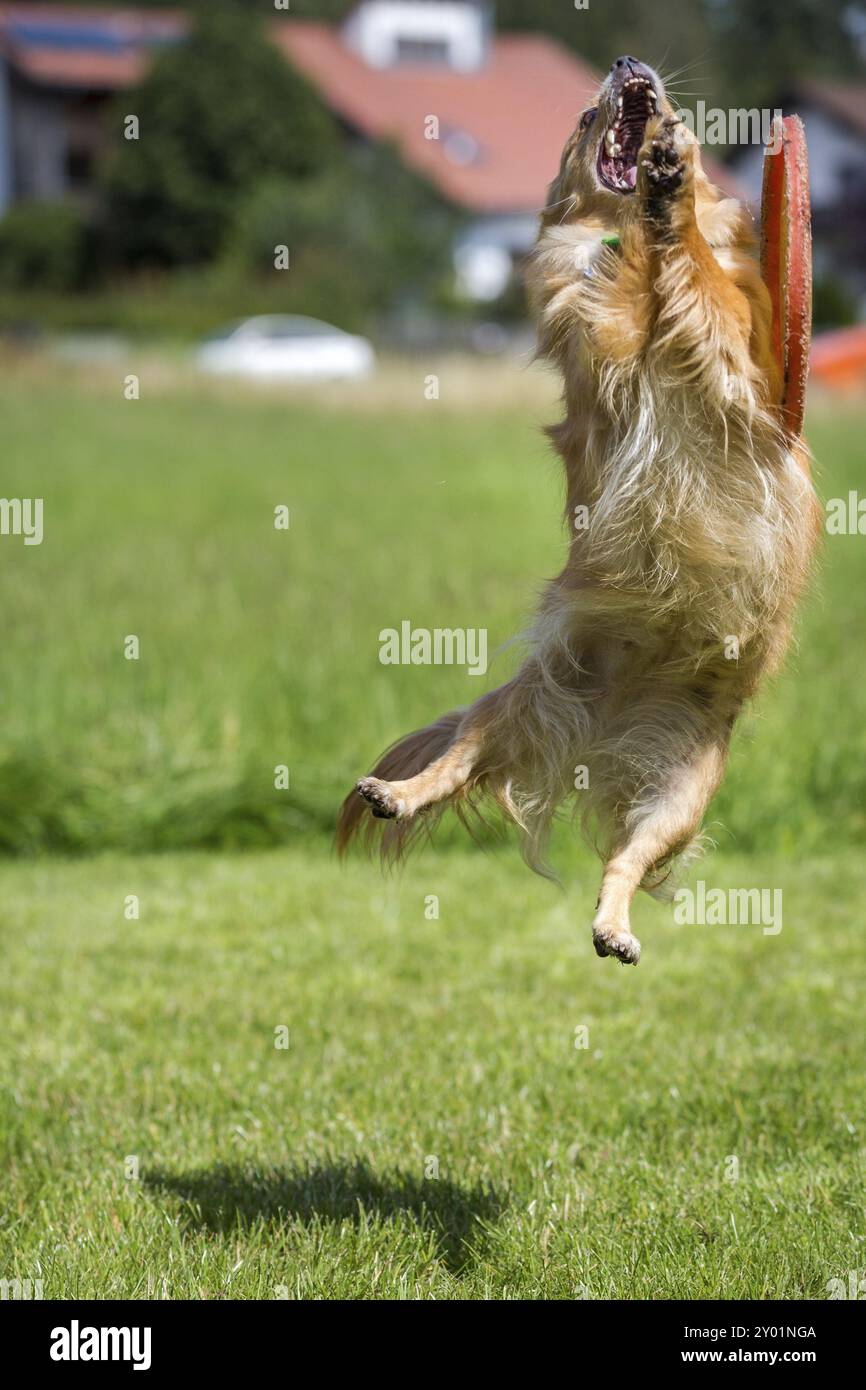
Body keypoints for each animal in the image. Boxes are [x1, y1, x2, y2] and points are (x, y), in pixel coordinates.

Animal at [337, 56, 817, 967]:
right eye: (587, 117)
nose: (629, 66)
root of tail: (603, 735)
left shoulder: (747, 352)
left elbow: (699, 273)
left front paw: (672, 190)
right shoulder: (598, 338)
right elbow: (612, 297)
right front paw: (640, 241)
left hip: (682, 790)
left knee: (626, 859)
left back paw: (614, 926)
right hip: (516, 707)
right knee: (458, 759)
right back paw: (398, 793)